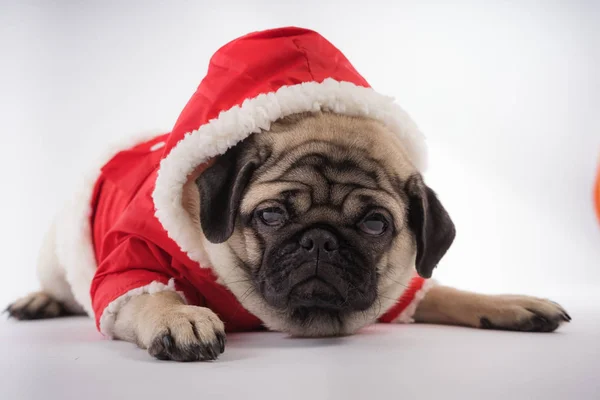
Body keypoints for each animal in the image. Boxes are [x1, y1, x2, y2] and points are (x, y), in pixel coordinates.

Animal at [9, 111, 572, 360]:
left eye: (375, 224)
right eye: (272, 216)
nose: (319, 239)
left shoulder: (396, 289)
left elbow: (441, 292)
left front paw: (508, 304)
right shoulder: (133, 258)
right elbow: (146, 293)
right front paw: (181, 315)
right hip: (58, 255)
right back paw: (39, 301)